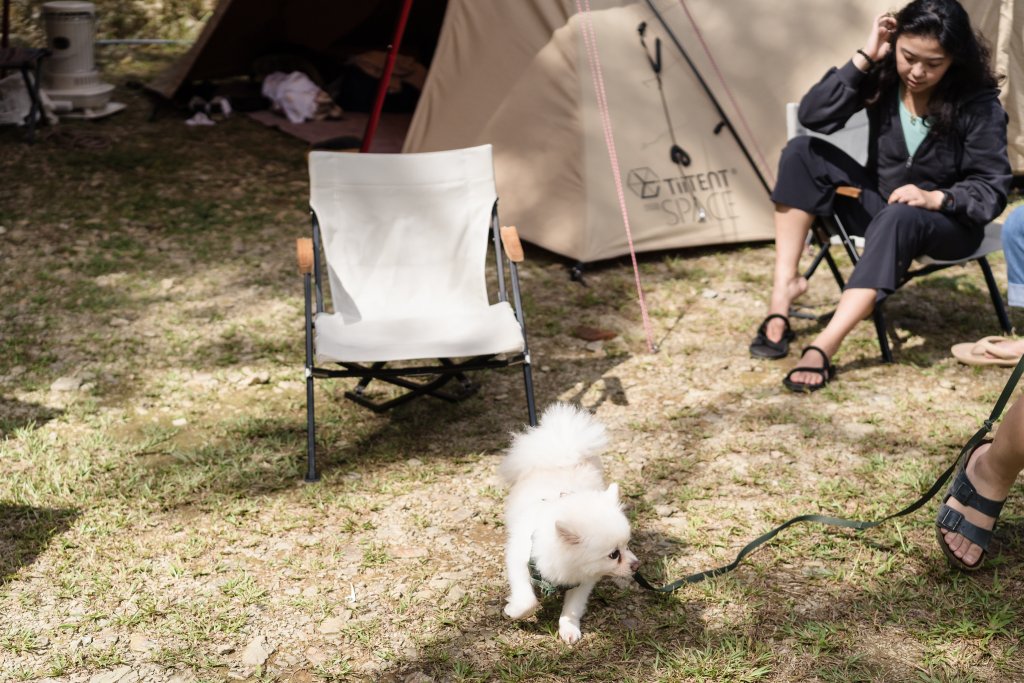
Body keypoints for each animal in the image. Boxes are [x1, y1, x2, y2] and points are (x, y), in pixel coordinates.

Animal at [497, 403, 634, 643]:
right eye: (613, 555)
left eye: (627, 545)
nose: (636, 564)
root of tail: (563, 452)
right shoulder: (518, 560)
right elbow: (527, 600)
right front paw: (513, 610)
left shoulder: (584, 580)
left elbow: (572, 607)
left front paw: (569, 629)